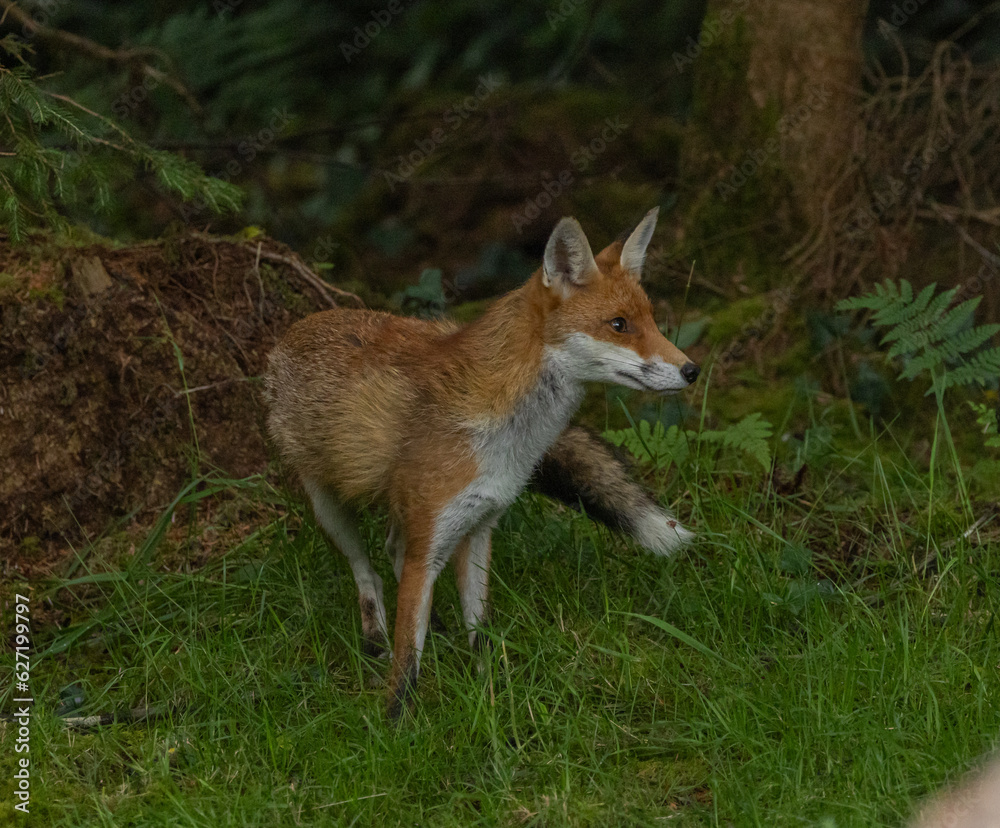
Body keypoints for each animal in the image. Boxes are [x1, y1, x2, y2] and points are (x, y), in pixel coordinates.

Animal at [270, 209, 700, 720]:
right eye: (618, 324)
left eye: (651, 319)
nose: (692, 370)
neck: (507, 437)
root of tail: (295, 329)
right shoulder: (435, 525)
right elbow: (406, 660)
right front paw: (396, 723)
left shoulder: (479, 526)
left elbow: (481, 634)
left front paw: (493, 697)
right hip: (329, 506)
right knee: (366, 571)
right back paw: (375, 637)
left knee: (394, 550)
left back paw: (434, 626)